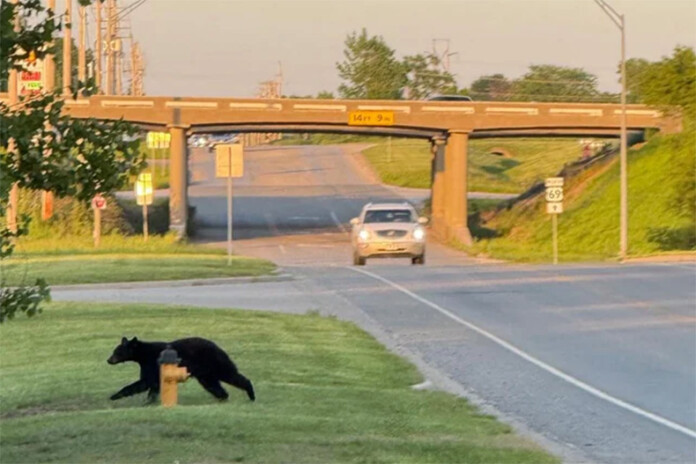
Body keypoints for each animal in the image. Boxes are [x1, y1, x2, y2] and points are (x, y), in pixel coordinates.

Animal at [107, 336, 255, 403]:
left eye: (117, 352)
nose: (108, 360)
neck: (143, 354)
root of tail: (218, 347)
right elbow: (153, 385)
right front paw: (149, 401)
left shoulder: (152, 364)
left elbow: (144, 382)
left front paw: (114, 396)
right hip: (205, 373)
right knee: (212, 384)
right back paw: (223, 397)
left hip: (215, 363)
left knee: (230, 374)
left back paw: (251, 394)